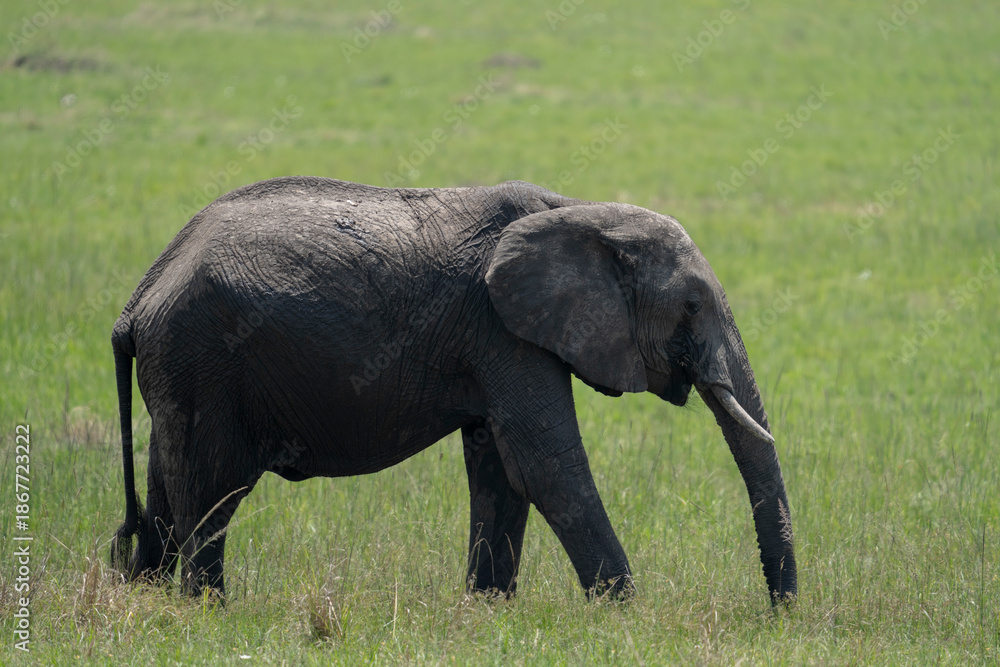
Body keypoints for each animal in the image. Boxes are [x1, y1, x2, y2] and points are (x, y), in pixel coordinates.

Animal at [110, 176, 796, 604]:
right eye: (692, 306)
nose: (778, 615)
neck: (579, 208)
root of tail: (137, 298)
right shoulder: (503, 331)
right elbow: (547, 468)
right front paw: (628, 617)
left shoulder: (499, 340)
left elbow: (501, 471)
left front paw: (489, 613)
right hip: (204, 361)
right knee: (211, 490)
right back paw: (209, 614)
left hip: (181, 373)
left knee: (167, 486)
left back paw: (151, 606)